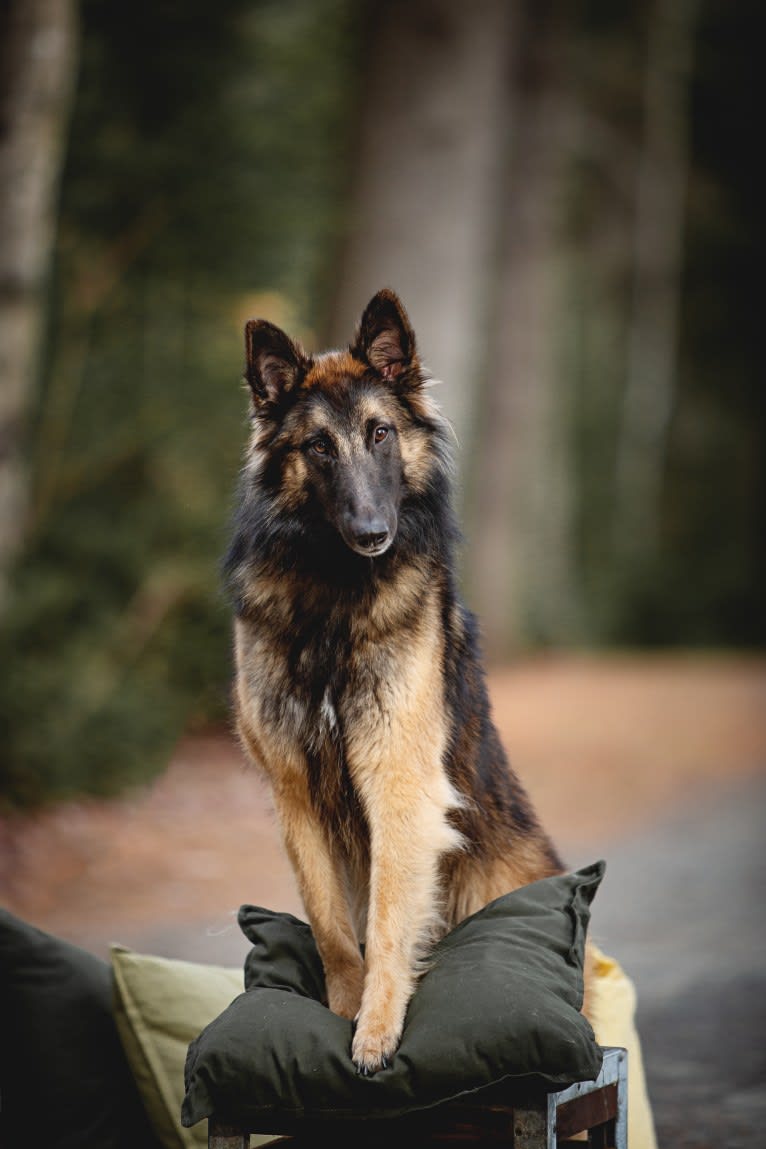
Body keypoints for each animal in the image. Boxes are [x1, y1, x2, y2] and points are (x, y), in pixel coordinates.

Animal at [225, 287, 571, 1075]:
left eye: (380, 433)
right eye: (319, 446)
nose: (372, 533)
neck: (333, 595)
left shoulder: (397, 780)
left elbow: (386, 918)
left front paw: (377, 1031)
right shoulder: (294, 791)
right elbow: (329, 921)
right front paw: (343, 1010)